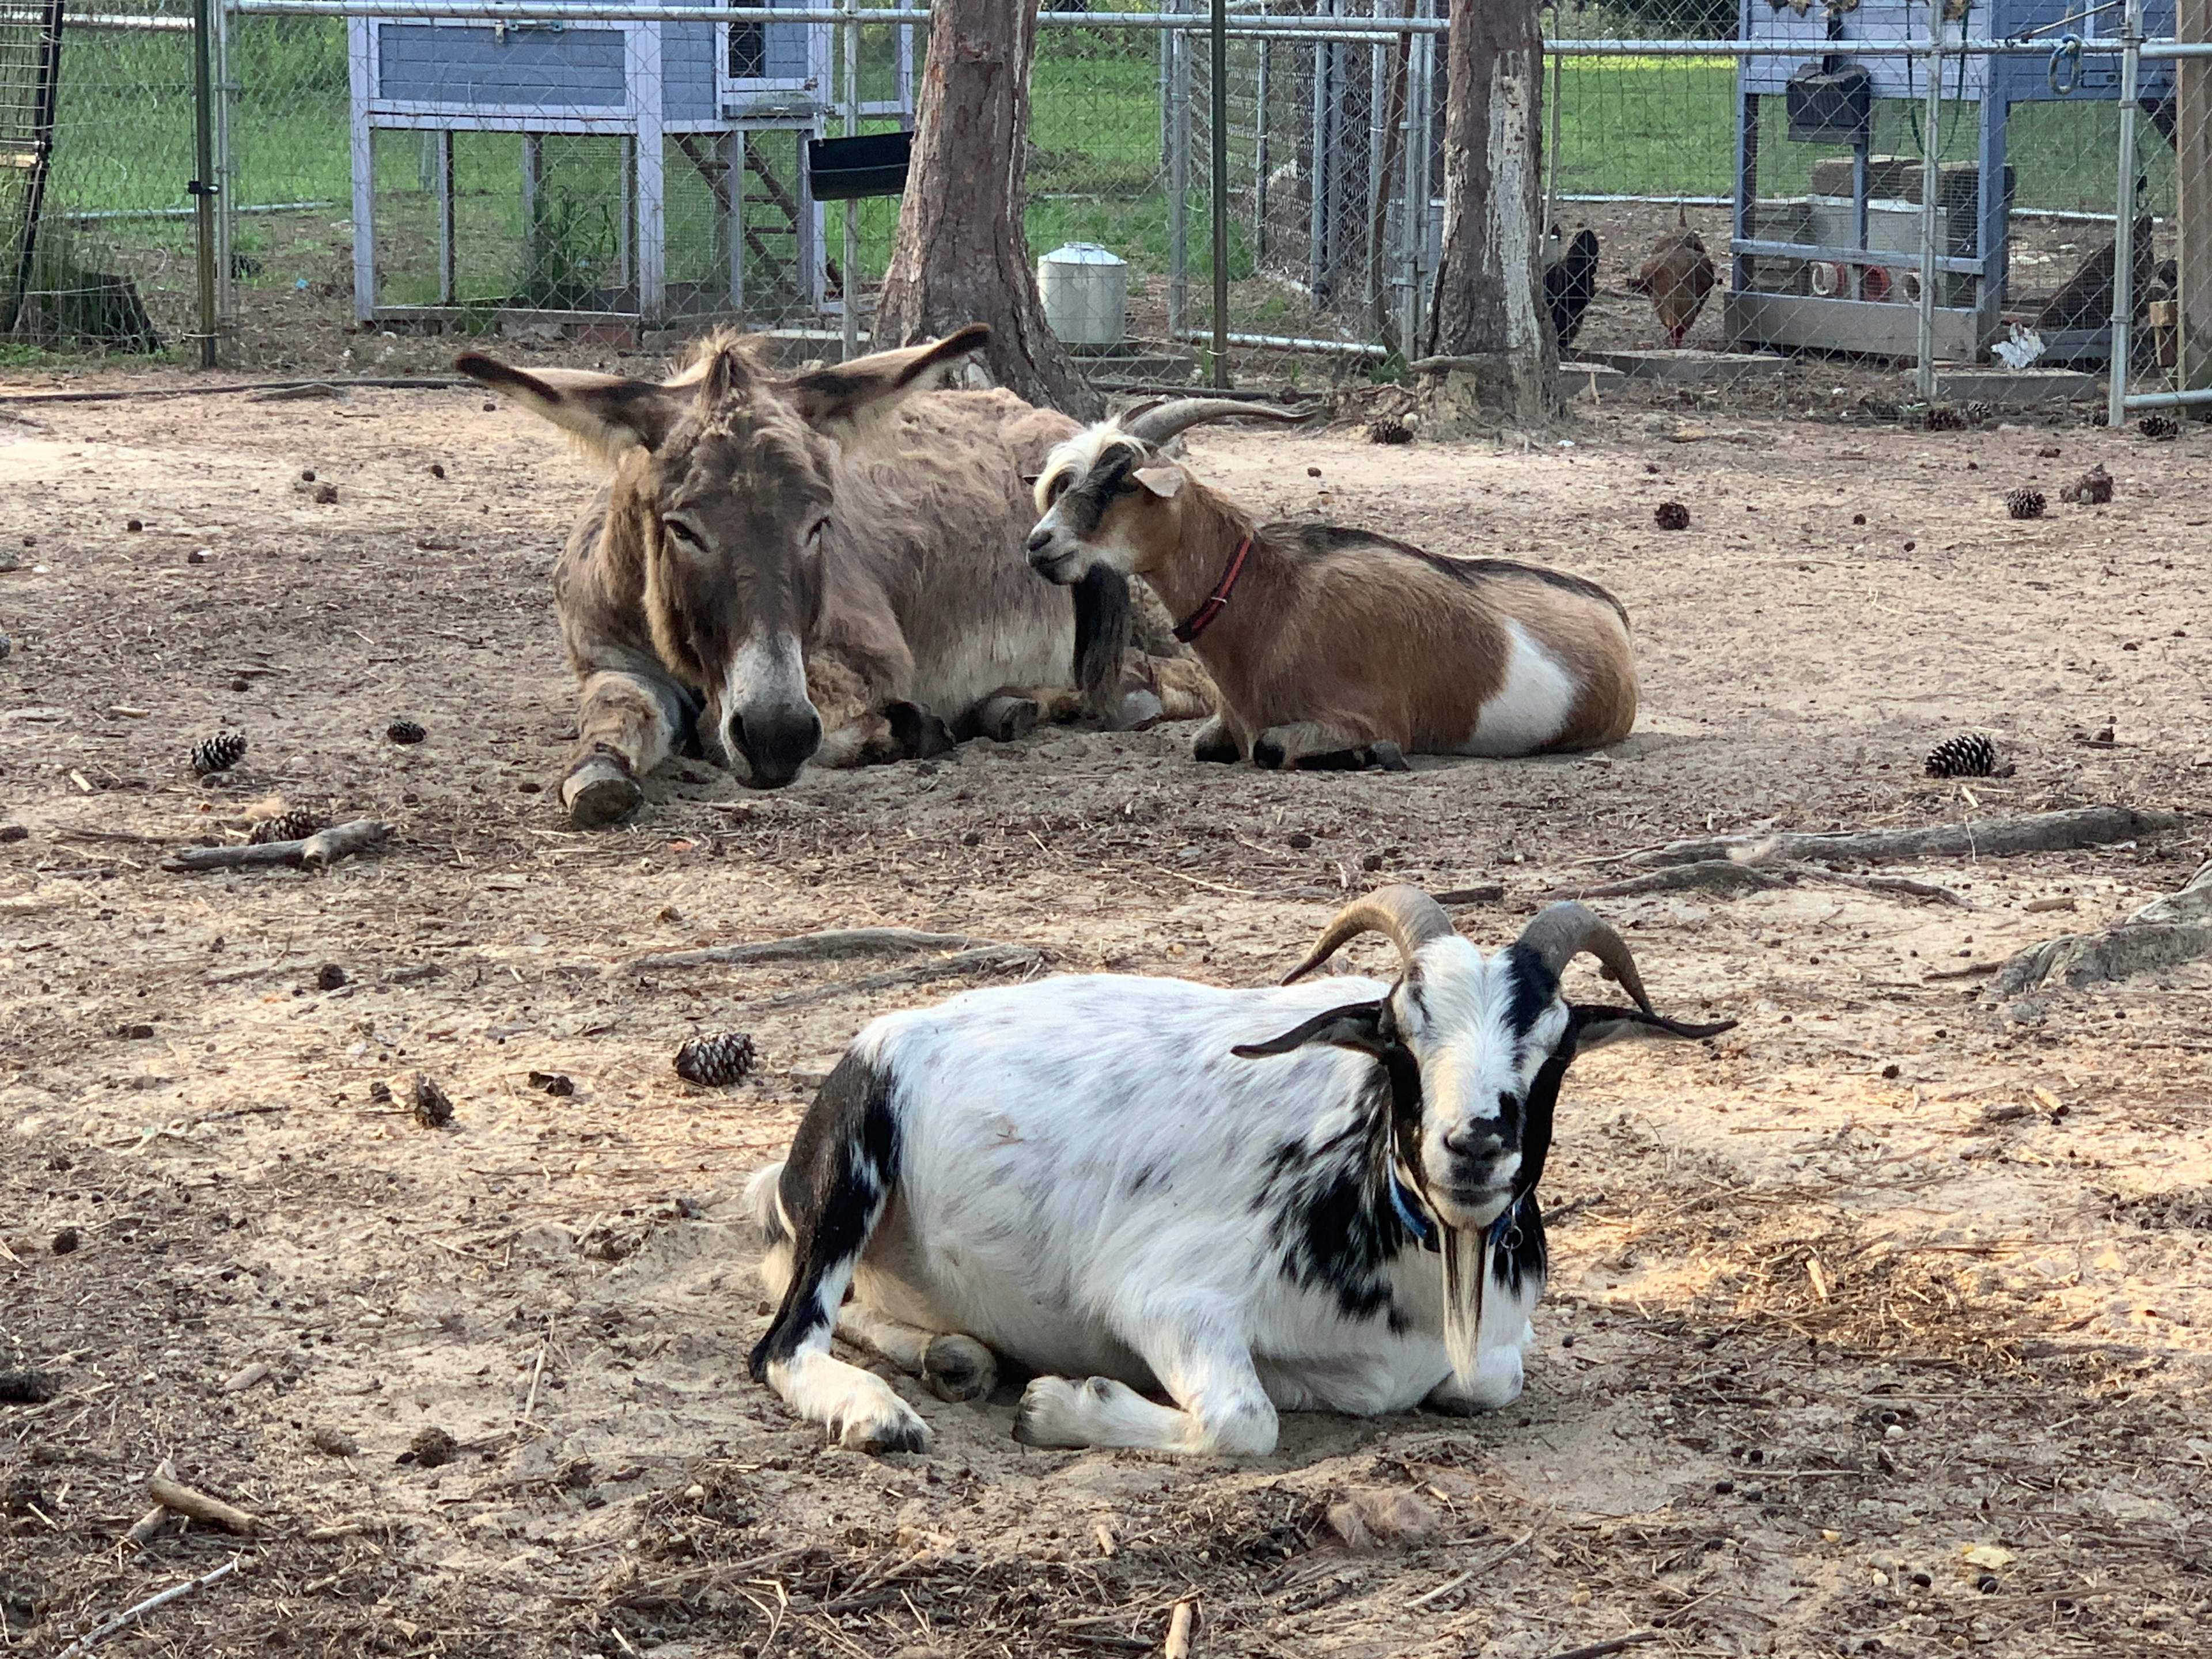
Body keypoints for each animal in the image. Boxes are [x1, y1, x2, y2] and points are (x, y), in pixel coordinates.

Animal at [745, 888, 1732, 1456]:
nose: (1475, 1143)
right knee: (785, 1338)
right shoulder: (1163, 1295)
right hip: (853, 1160)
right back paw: (880, 1416)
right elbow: (1243, 1424)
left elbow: (1491, 1379)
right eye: (1395, 1035)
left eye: (1554, 1051)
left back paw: (954, 1356)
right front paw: (1060, 1407)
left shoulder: (1488, 1351)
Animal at [1024, 399, 1639, 772]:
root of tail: (1614, 612)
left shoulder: (1370, 715)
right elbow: (1204, 745)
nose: (1040, 543)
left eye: (1124, 482)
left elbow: (1273, 746)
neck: (1271, 603)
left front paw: (1372, 757)